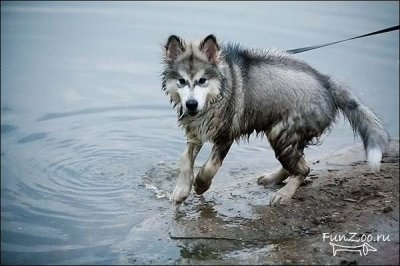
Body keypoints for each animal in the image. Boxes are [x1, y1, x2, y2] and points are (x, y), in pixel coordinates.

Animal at [161, 34, 390, 206]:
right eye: (181, 81)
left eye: (202, 80)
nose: (191, 104)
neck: (217, 94)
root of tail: (326, 82)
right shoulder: (196, 130)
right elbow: (185, 158)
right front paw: (181, 190)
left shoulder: (226, 134)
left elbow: (210, 166)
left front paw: (201, 184)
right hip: (288, 133)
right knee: (298, 162)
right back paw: (272, 178)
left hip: (281, 131)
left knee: (304, 169)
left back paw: (284, 193)